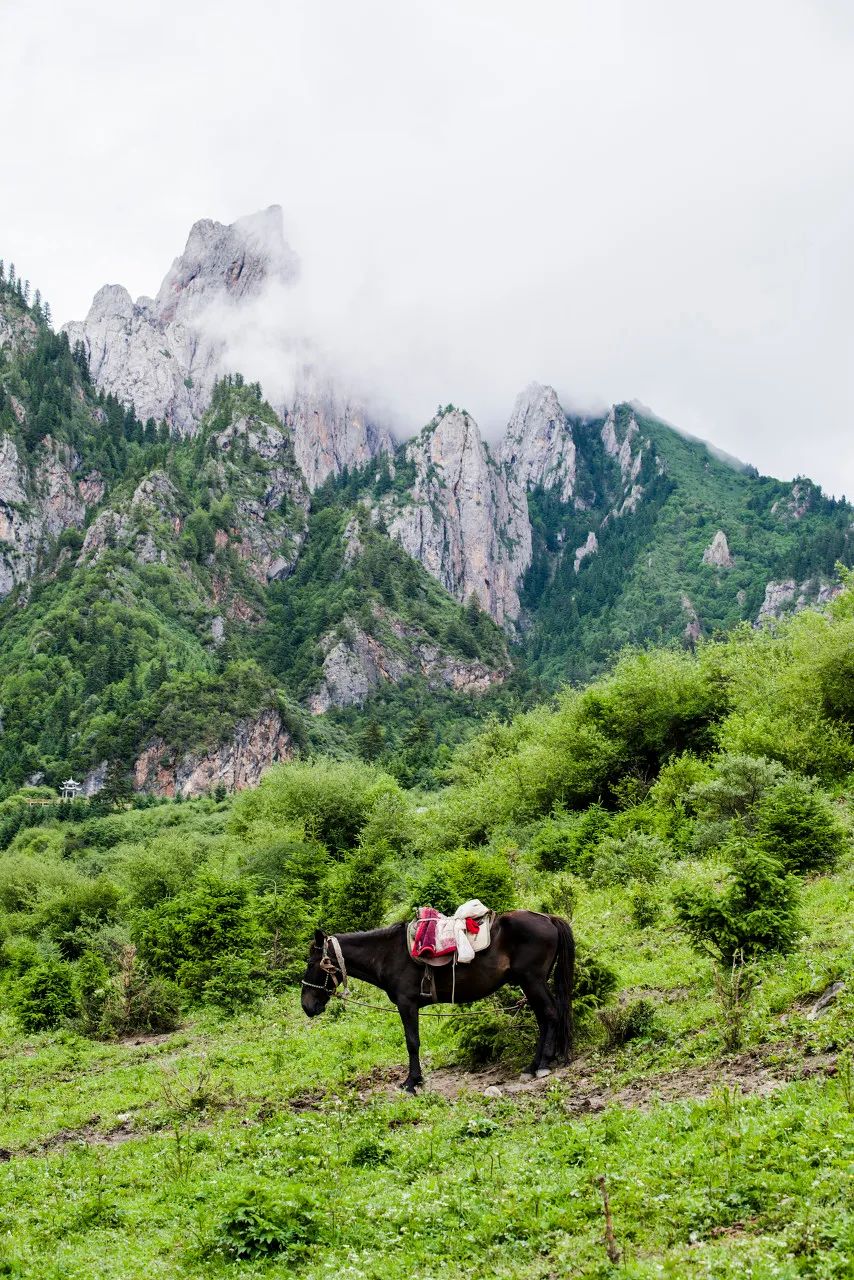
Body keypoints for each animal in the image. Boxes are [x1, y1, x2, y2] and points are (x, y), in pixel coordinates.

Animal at [300, 911, 573, 1090]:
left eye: (312, 963)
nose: (306, 1005)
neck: (386, 954)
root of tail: (548, 918)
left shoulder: (407, 1004)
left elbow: (412, 1042)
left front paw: (412, 1081)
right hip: (531, 984)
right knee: (543, 1019)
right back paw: (532, 1066)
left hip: (532, 981)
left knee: (550, 1014)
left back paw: (543, 1065)